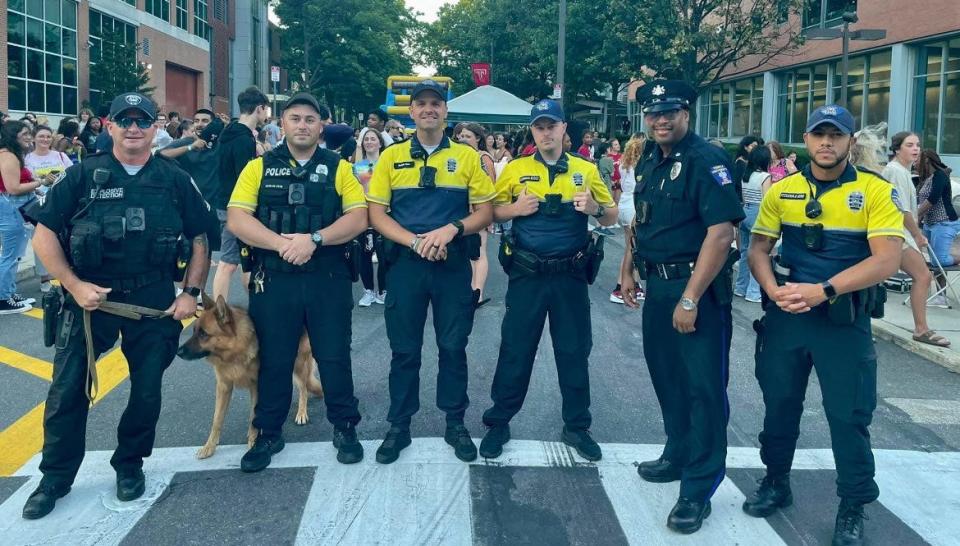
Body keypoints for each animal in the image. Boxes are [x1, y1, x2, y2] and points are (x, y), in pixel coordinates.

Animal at [173, 292, 322, 456]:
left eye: (203, 334)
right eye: (194, 332)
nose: (178, 352)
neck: (235, 352)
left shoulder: (256, 386)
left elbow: (253, 416)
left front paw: (253, 440)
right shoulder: (223, 387)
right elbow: (217, 419)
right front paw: (209, 446)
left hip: (299, 365)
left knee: (303, 389)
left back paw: (301, 412)